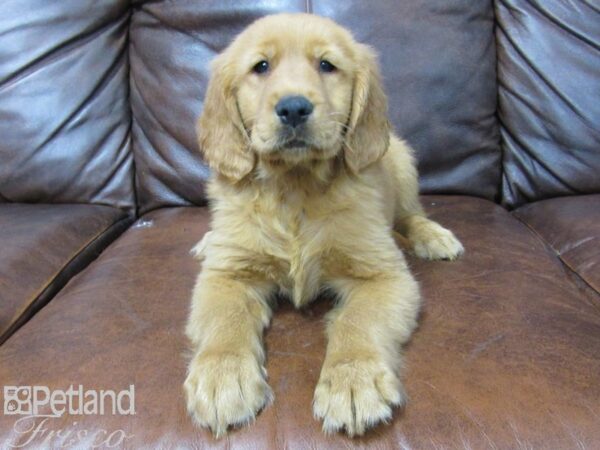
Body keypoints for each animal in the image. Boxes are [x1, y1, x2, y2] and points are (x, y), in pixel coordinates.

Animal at [184, 12, 464, 438]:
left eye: (327, 65)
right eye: (261, 67)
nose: (294, 108)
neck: (295, 189)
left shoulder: (382, 274)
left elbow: (357, 320)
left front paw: (354, 380)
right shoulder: (228, 273)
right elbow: (225, 320)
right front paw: (222, 376)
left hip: (401, 162)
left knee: (410, 214)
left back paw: (433, 236)